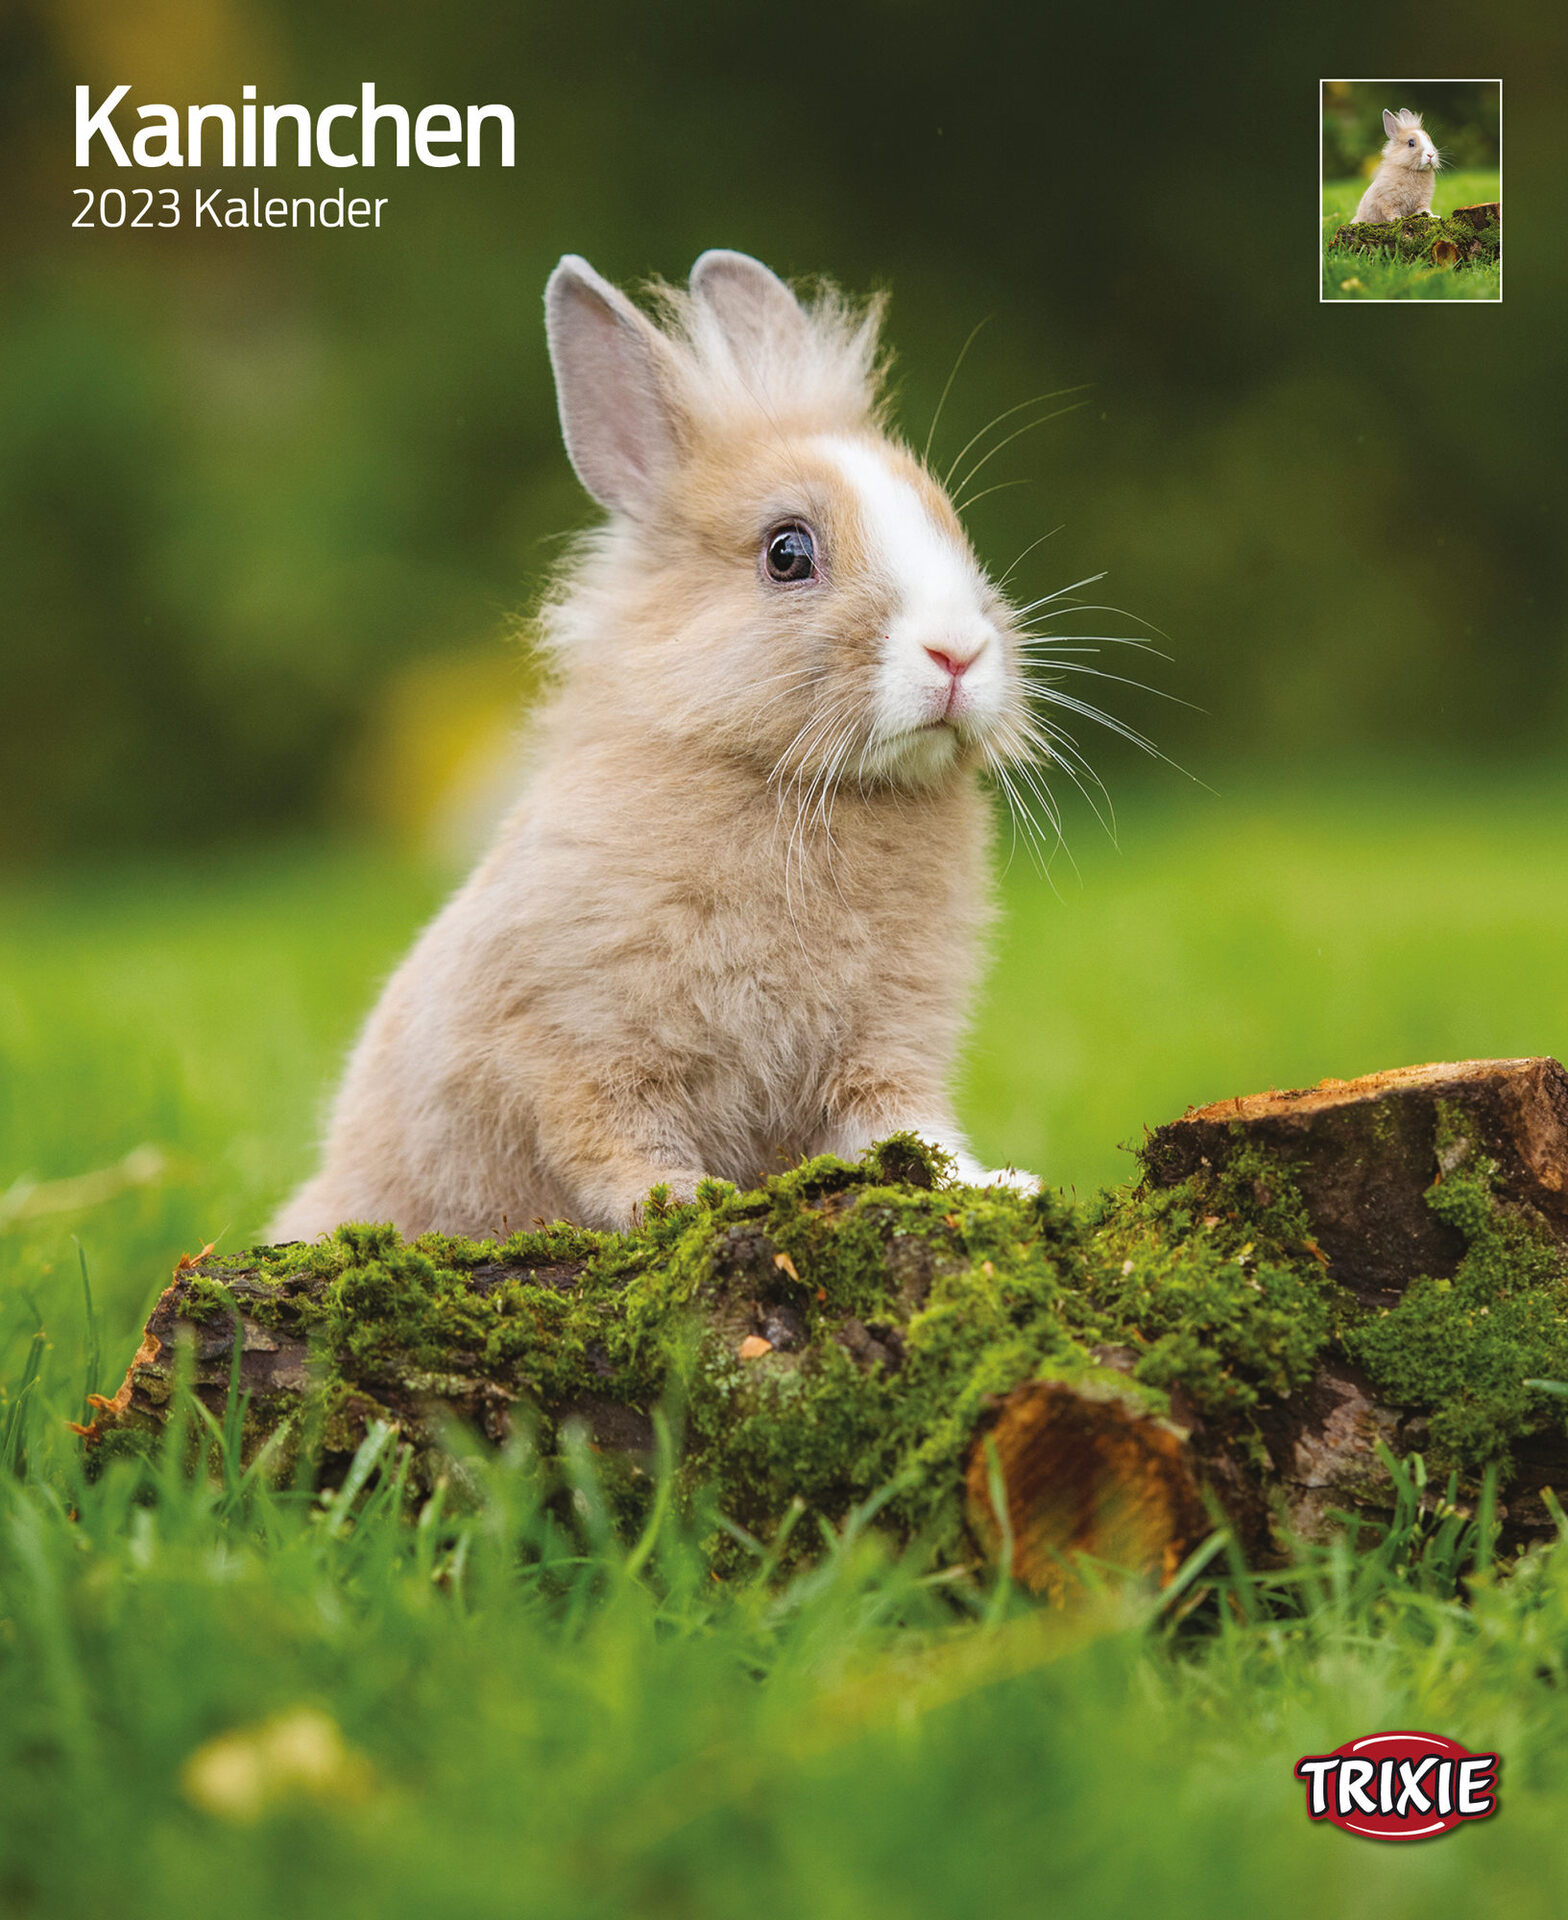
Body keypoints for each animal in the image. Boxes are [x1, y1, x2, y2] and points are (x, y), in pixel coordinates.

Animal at [271, 249, 1050, 1243]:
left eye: (954, 527)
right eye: (787, 553)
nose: (958, 652)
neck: (791, 785)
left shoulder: (885, 1049)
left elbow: (907, 1131)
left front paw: (1002, 1186)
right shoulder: (577, 1046)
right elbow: (607, 1142)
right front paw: (682, 1200)